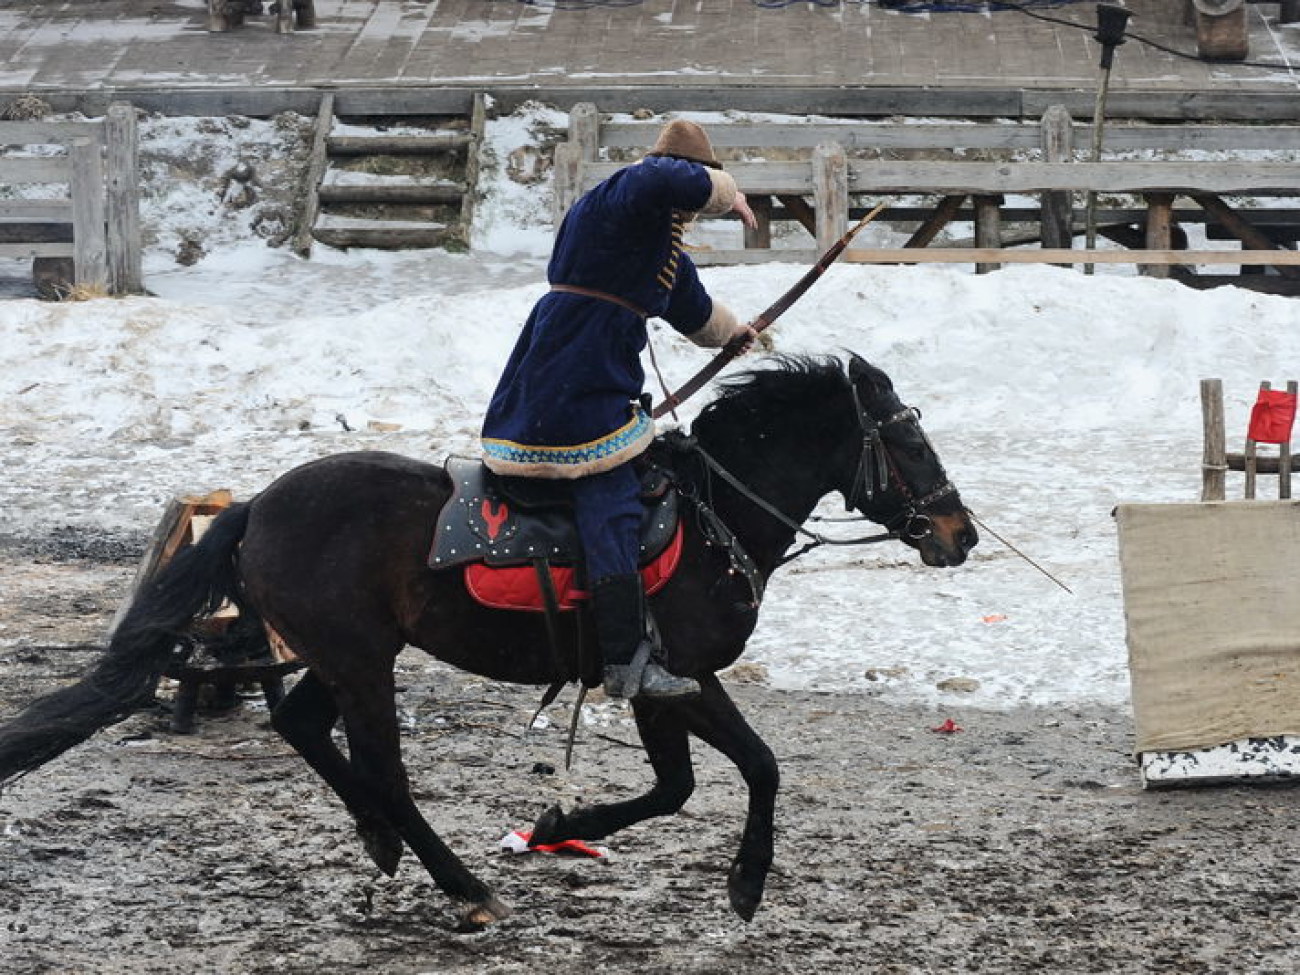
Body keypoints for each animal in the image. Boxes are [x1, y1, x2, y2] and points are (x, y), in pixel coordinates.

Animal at [0, 351, 977, 930]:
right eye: (909, 440)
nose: (959, 533)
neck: (712, 520)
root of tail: (256, 509)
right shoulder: (671, 678)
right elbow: (720, 775)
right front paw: (718, 871)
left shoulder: (673, 683)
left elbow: (713, 776)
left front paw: (567, 825)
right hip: (361, 660)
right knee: (380, 765)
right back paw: (461, 883)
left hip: (347, 653)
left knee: (303, 727)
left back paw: (381, 839)